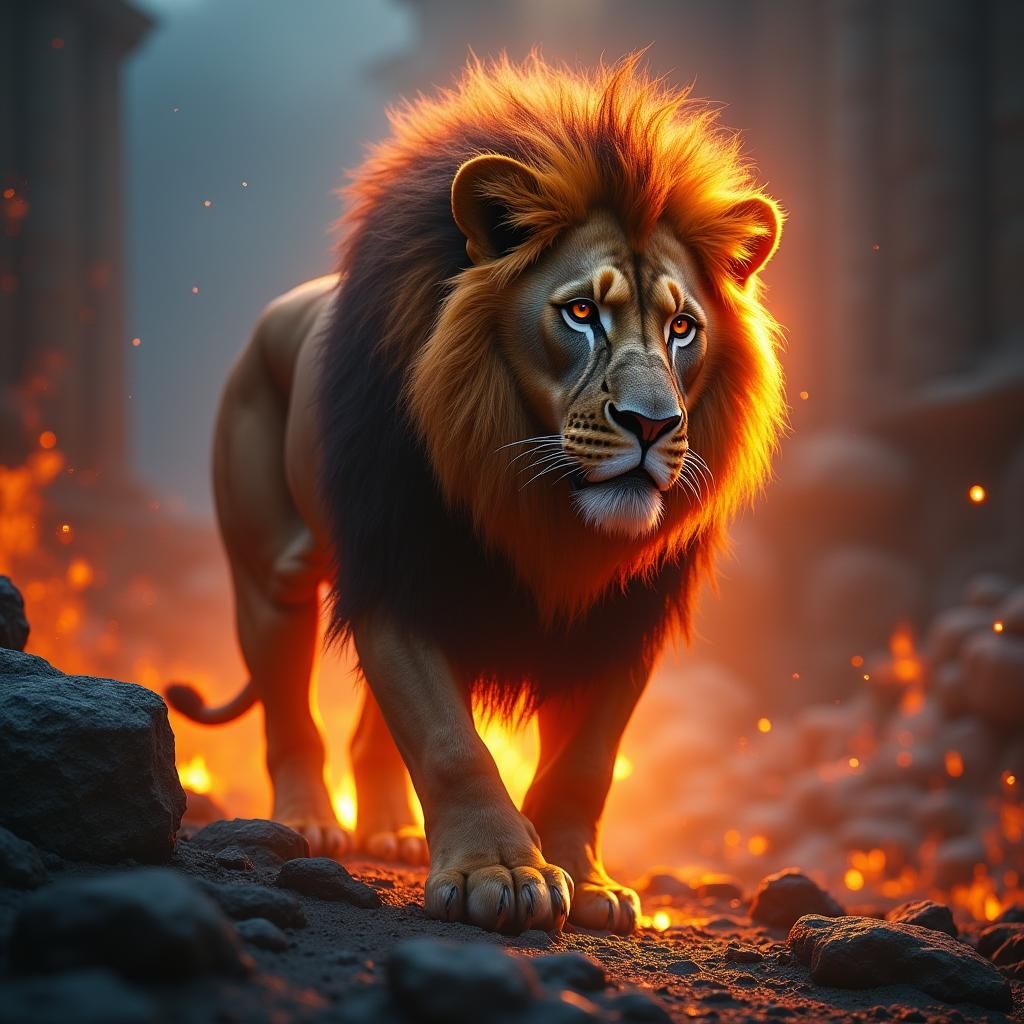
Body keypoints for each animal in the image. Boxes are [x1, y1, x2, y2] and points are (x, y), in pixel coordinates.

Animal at [167, 53, 785, 935]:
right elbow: (450, 741)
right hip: (270, 572)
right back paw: (311, 821)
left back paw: (390, 831)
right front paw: (500, 871)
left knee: (369, 736)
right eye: (581, 312)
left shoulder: (624, 618)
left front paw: (587, 881)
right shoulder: (398, 566)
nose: (652, 424)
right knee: (291, 713)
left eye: (683, 328)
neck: (540, 498)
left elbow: (586, 762)